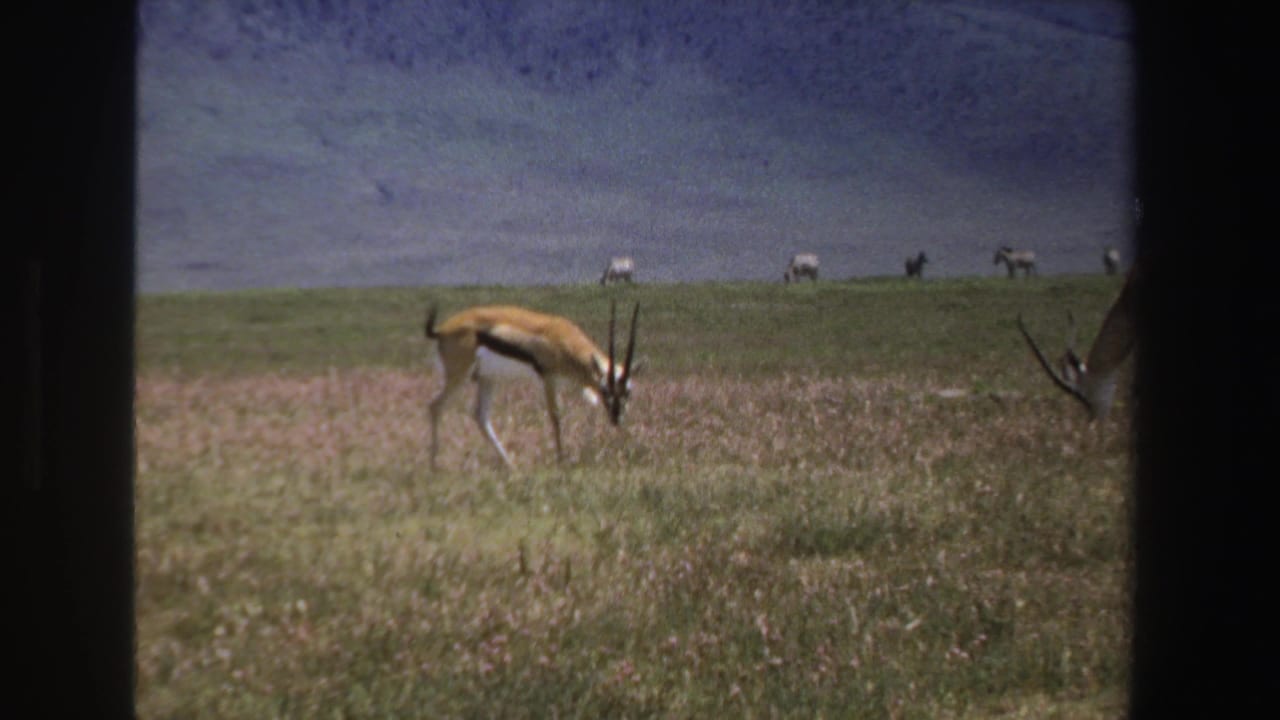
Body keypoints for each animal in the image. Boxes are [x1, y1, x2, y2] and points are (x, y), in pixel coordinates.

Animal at [424, 301, 640, 469]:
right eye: (606, 390)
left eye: (628, 391)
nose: (617, 419)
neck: (562, 339)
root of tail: (441, 330)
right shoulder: (548, 379)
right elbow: (555, 416)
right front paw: (561, 461)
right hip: (458, 377)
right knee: (435, 406)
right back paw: (434, 467)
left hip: (487, 378)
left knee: (480, 417)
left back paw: (511, 466)